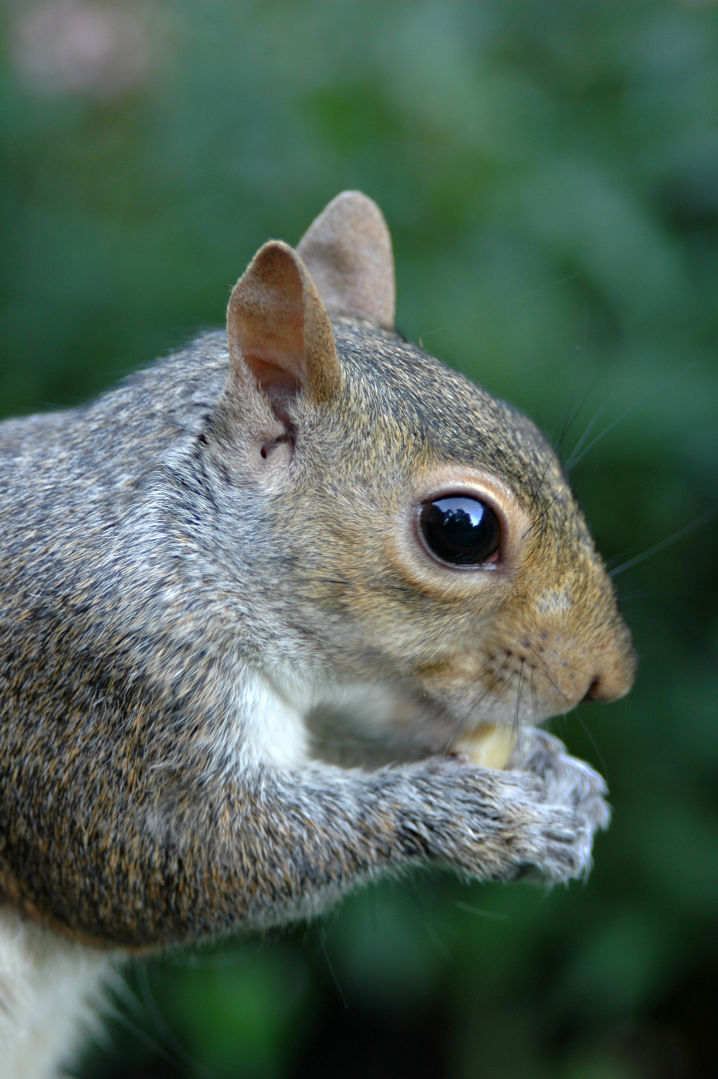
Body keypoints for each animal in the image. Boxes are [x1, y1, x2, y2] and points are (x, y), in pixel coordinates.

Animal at [0, 189, 630, 1074]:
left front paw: (552, 770)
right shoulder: (95, 691)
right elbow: (173, 863)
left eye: (535, 435)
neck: (179, 552)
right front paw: (468, 814)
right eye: (460, 528)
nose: (612, 676)